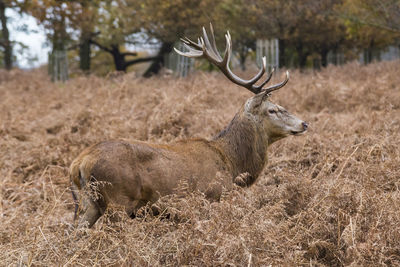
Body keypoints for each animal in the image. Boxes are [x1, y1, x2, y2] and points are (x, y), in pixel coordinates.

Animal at [69, 24, 310, 228]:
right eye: (272, 110)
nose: (304, 123)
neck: (231, 164)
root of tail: (78, 163)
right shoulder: (212, 196)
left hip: (89, 203)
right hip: (117, 199)